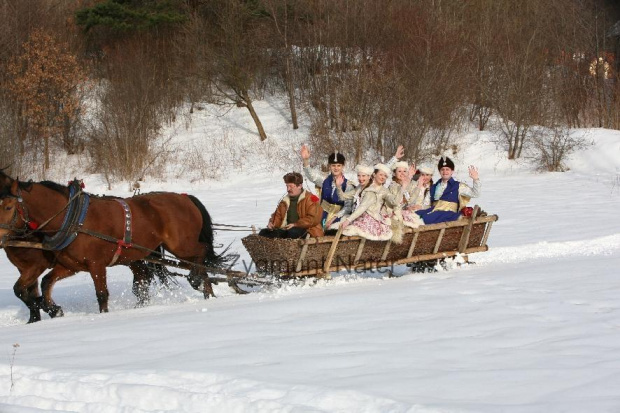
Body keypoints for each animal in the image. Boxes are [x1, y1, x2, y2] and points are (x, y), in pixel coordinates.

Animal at [0, 171, 222, 316]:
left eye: (8, 206)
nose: (0, 237)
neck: (73, 220)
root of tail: (186, 198)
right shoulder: (70, 265)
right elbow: (45, 283)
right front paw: (54, 310)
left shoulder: (96, 265)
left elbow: (101, 295)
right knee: (145, 281)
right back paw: (207, 293)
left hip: (180, 245)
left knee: (200, 253)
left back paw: (199, 282)